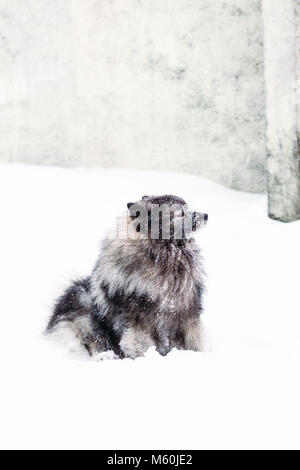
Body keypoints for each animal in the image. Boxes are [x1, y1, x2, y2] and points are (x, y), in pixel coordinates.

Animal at [47, 195, 207, 360]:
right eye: (180, 213)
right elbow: (141, 345)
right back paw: (106, 356)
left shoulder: (187, 318)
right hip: (84, 316)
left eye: (188, 208)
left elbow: (194, 343)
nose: (206, 215)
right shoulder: (138, 323)